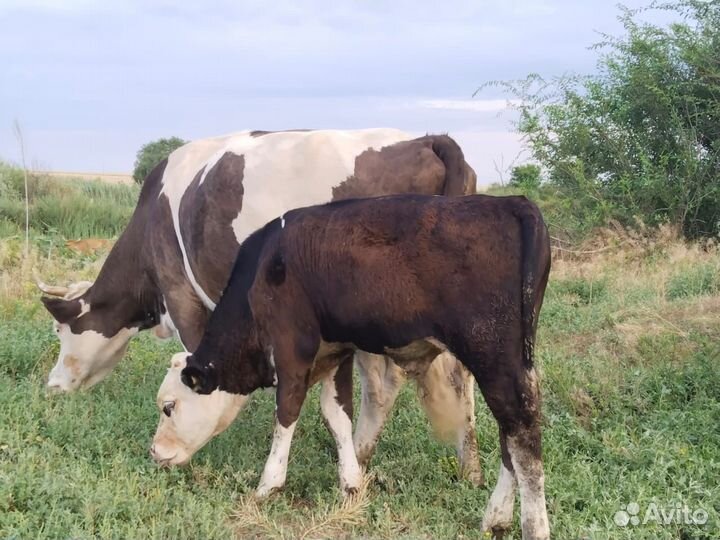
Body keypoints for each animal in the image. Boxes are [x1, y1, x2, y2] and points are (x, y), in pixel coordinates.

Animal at [37, 129, 484, 484]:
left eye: (60, 330)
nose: (52, 386)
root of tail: (427, 139)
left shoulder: (182, 294)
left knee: (387, 385)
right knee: (448, 378)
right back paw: (466, 468)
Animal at [152, 194, 552, 540]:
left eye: (168, 407)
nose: (155, 452)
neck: (262, 270)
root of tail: (511, 202)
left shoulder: (292, 348)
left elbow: (287, 412)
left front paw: (268, 485)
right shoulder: (336, 352)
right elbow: (337, 415)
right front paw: (350, 484)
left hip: (493, 357)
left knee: (522, 437)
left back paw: (534, 527)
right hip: (512, 362)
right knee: (509, 436)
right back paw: (496, 518)